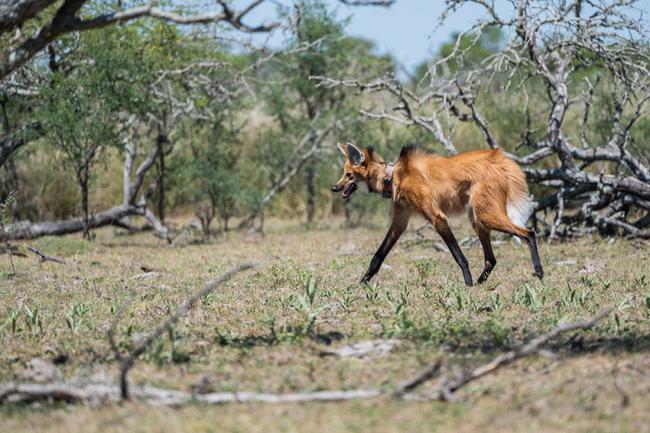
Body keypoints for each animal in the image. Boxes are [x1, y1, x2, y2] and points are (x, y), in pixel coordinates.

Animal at [330, 141, 540, 286]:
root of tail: (501, 157)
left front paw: (467, 284)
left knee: (529, 232)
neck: (394, 177)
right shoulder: (400, 222)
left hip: (485, 216)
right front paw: (362, 283)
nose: (334, 188)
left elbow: (459, 257)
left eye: (349, 175)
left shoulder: (437, 217)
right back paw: (481, 283)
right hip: (477, 220)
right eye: (343, 174)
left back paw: (539, 272)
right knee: (491, 259)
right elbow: (378, 256)